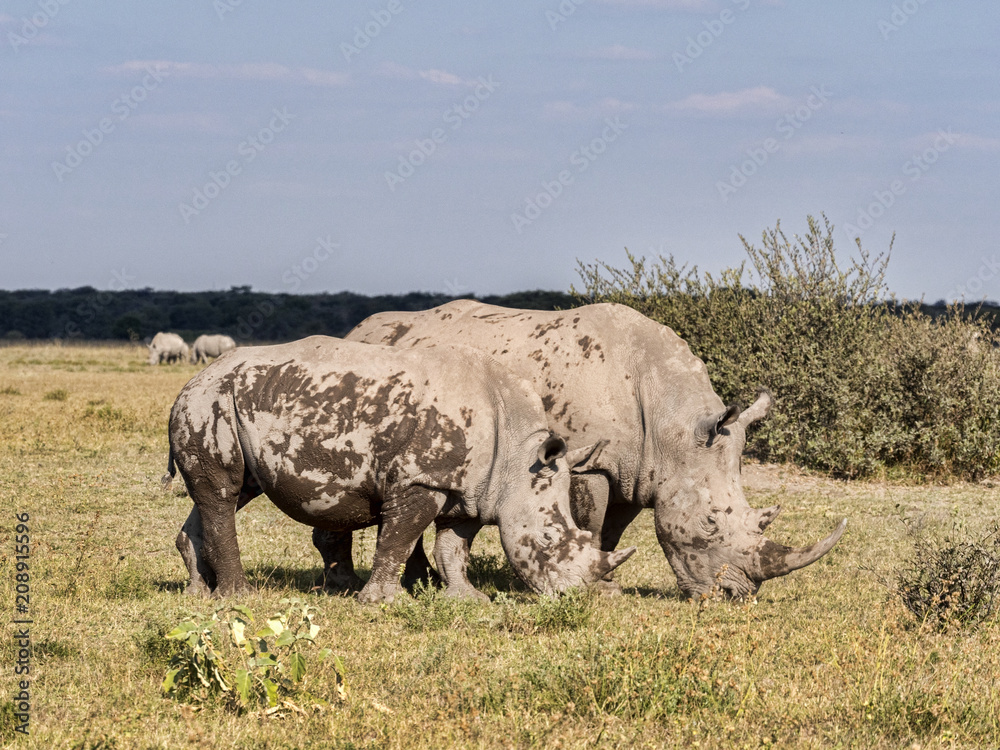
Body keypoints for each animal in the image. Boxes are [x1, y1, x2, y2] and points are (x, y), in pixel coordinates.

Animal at [164, 335, 634, 603]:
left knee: (230, 491)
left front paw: (467, 600)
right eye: (549, 540)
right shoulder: (420, 479)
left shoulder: (469, 490)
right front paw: (384, 603)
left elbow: (453, 547)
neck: (519, 459)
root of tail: (191, 381)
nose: (574, 598)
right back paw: (238, 598)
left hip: (223, 403)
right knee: (223, 493)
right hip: (209, 402)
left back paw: (197, 593)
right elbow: (399, 539)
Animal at [342, 300, 846, 600]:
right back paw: (412, 582)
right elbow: (591, 522)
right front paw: (603, 589)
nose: (737, 596)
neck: (672, 425)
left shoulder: (638, 472)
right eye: (708, 523)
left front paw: (610, 583)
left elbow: (612, 533)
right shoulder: (591, 463)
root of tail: (356, 330)